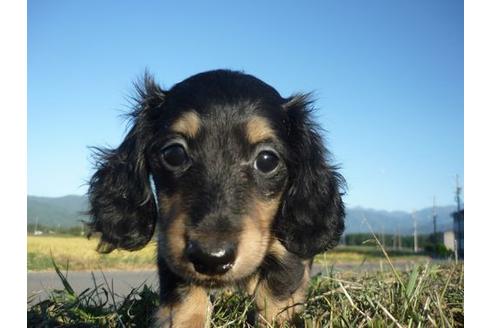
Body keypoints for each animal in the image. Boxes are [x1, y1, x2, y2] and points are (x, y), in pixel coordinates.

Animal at [86, 69, 344, 326]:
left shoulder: (288, 257)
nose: (211, 259)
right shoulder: (170, 250)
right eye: (173, 153)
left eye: (267, 160)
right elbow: (187, 300)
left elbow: (276, 298)